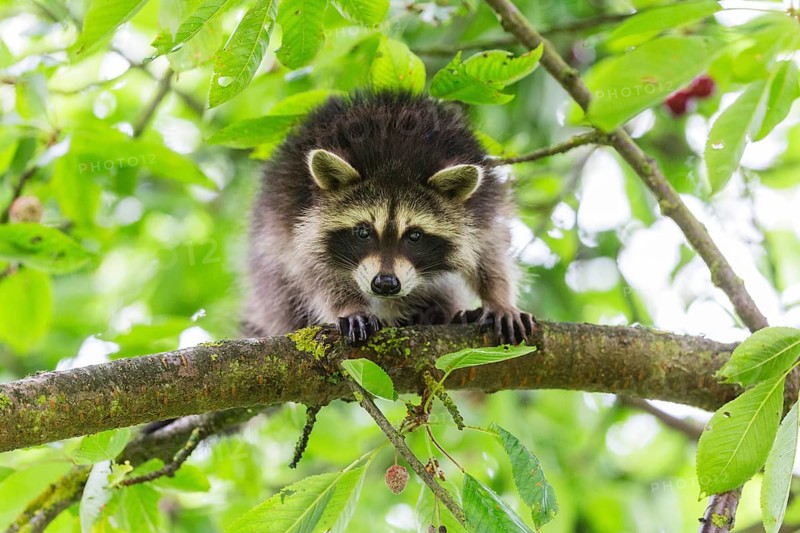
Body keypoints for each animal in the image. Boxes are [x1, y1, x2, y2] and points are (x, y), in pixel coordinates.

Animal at [245, 92, 534, 345]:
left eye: (415, 235)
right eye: (363, 232)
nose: (385, 284)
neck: (395, 162)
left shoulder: (482, 203)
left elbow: (489, 247)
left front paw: (499, 299)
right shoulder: (297, 219)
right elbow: (315, 271)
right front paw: (349, 305)